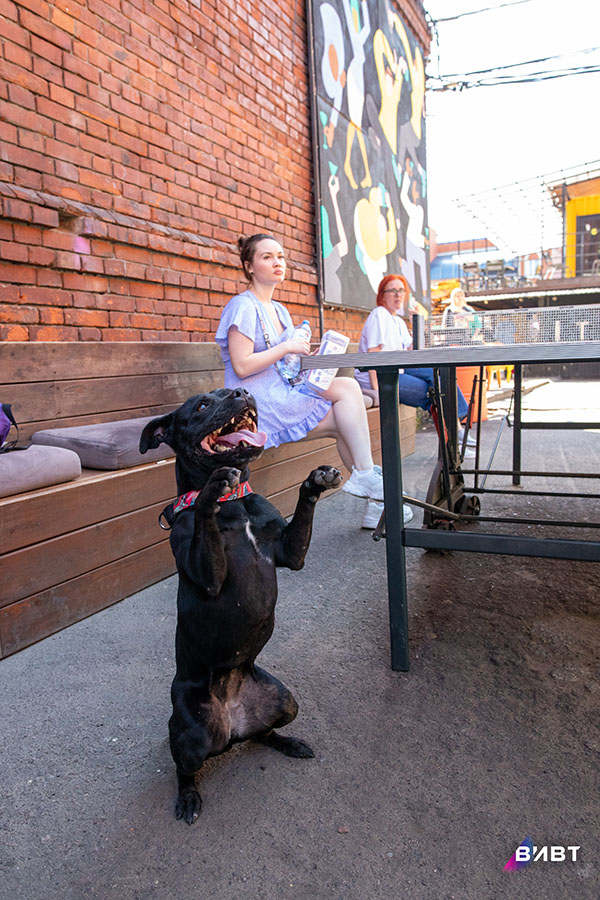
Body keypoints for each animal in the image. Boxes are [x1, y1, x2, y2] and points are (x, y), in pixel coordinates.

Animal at [140, 388, 341, 824]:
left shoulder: (289, 553)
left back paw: (288, 743)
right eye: (200, 405)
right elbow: (205, 516)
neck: (237, 504)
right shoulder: (210, 575)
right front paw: (211, 490)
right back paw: (188, 798)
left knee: (263, 733)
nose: (242, 391)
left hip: (285, 701)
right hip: (193, 733)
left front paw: (315, 480)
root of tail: (233, 726)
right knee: (184, 767)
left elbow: (302, 512)